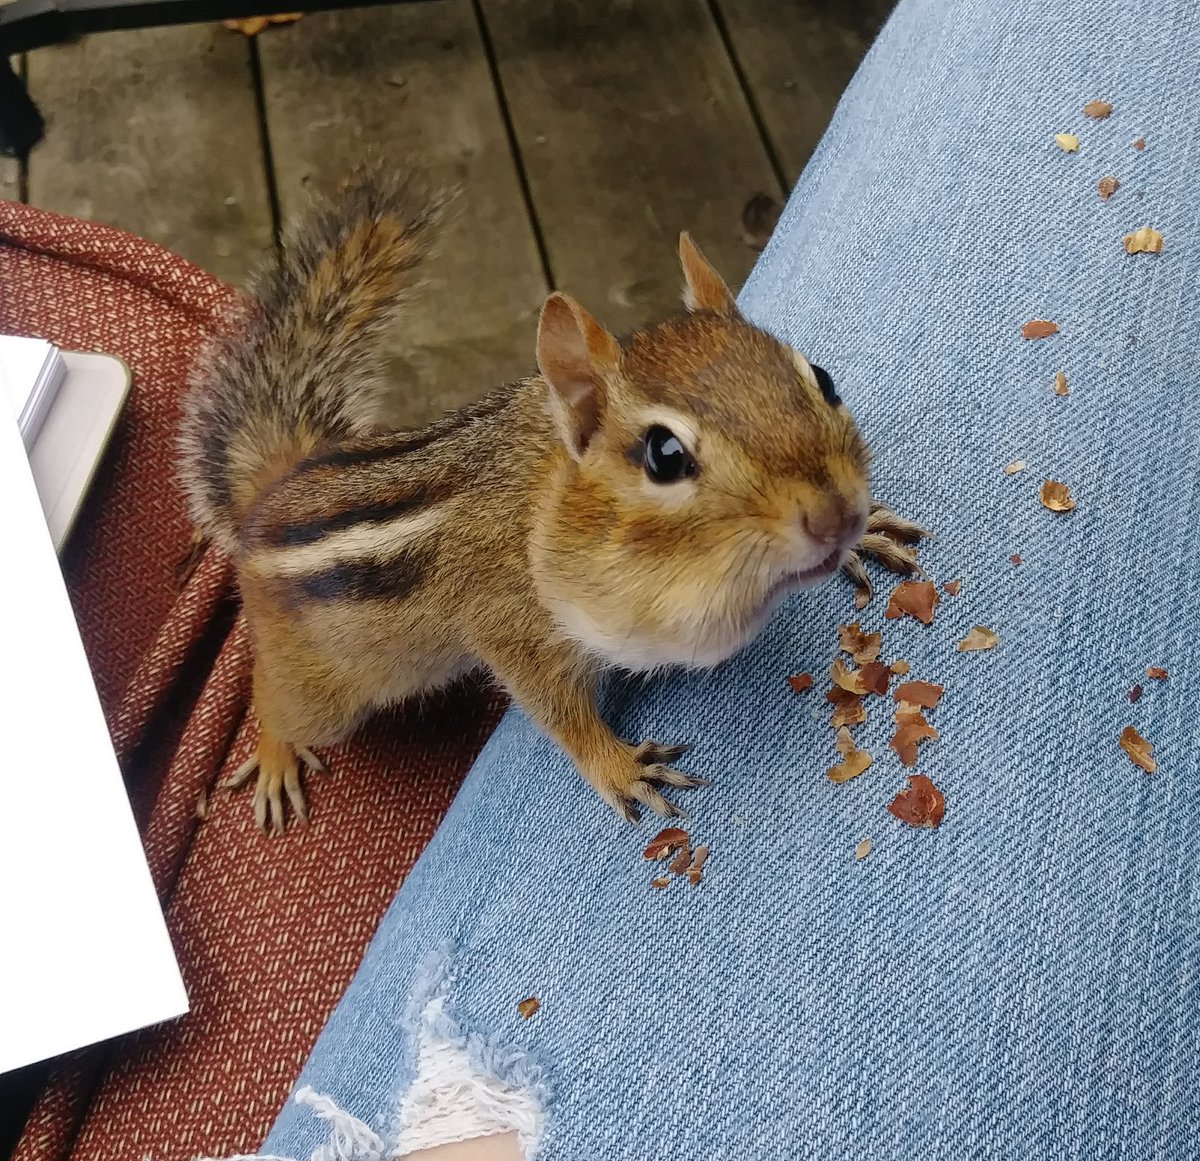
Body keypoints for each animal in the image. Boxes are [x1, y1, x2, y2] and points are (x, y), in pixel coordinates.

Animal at [179, 165, 926, 834]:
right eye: (664, 454)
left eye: (822, 378)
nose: (835, 515)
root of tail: (271, 494)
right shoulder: (511, 626)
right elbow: (557, 710)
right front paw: (617, 766)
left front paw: (863, 538)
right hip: (327, 694)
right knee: (272, 695)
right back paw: (276, 754)